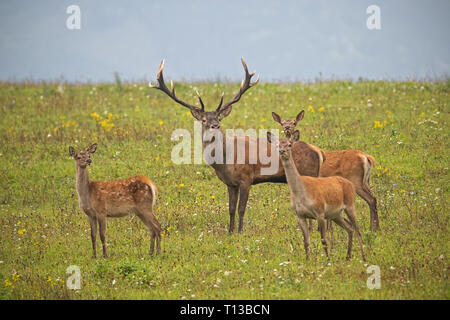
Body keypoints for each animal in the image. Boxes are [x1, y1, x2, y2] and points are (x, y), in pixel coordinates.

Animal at [150, 58, 324, 232]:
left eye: (219, 119)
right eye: (204, 120)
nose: (215, 126)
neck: (224, 162)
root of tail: (318, 152)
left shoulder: (246, 178)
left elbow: (241, 209)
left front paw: (240, 232)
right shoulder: (230, 183)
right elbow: (231, 209)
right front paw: (230, 231)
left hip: (308, 173)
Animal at [268, 129, 366, 262]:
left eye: (289, 144)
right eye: (278, 145)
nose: (282, 151)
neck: (301, 193)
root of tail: (350, 184)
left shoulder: (320, 212)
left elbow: (323, 240)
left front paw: (328, 260)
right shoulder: (300, 215)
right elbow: (306, 241)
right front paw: (308, 260)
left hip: (350, 205)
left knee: (357, 230)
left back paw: (364, 257)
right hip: (336, 214)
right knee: (349, 228)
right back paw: (348, 256)